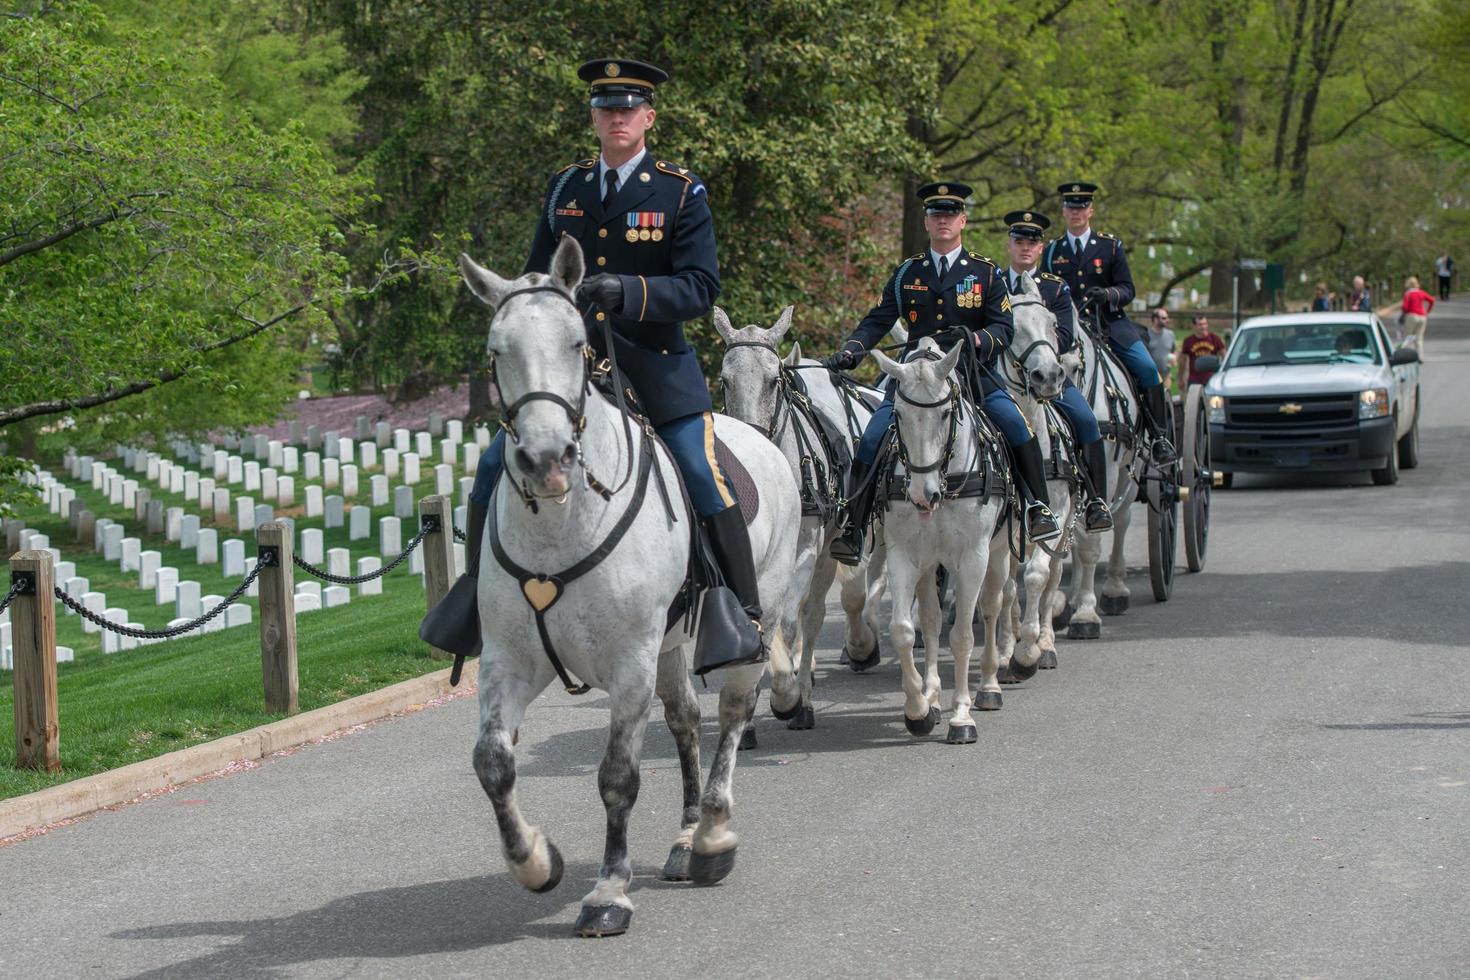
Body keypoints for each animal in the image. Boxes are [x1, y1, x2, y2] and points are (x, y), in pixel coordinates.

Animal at [461, 239, 799, 940]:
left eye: (575, 340)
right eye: (496, 348)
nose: (547, 461)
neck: (562, 522)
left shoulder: (628, 666)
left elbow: (618, 777)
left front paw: (609, 892)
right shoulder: (508, 662)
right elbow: (493, 763)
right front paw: (536, 862)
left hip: (751, 622)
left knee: (732, 714)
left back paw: (713, 837)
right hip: (671, 647)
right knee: (686, 719)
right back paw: (687, 835)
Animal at [714, 307, 876, 728]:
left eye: (774, 381)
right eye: (725, 380)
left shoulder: (804, 552)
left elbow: (788, 623)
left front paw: (786, 694)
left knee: (814, 614)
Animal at [864, 339, 1005, 743]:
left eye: (944, 414)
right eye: (897, 413)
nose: (922, 495)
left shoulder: (973, 558)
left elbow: (961, 637)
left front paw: (962, 716)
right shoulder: (905, 557)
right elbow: (903, 630)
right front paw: (919, 709)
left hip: (999, 555)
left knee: (993, 608)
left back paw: (990, 685)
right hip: (930, 565)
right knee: (929, 620)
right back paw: (932, 695)